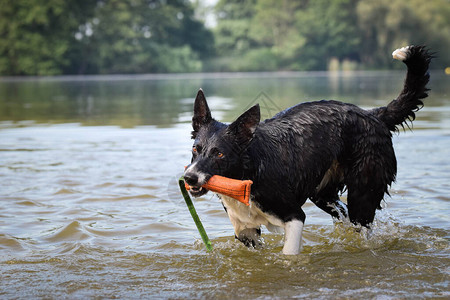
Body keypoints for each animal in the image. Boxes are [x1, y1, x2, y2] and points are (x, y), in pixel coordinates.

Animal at [183, 45, 432, 254]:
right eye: (196, 149)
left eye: (219, 153)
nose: (189, 178)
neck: (249, 170)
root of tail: (374, 114)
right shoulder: (246, 231)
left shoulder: (294, 216)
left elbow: (289, 255)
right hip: (323, 194)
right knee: (343, 214)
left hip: (364, 193)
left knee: (362, 224)